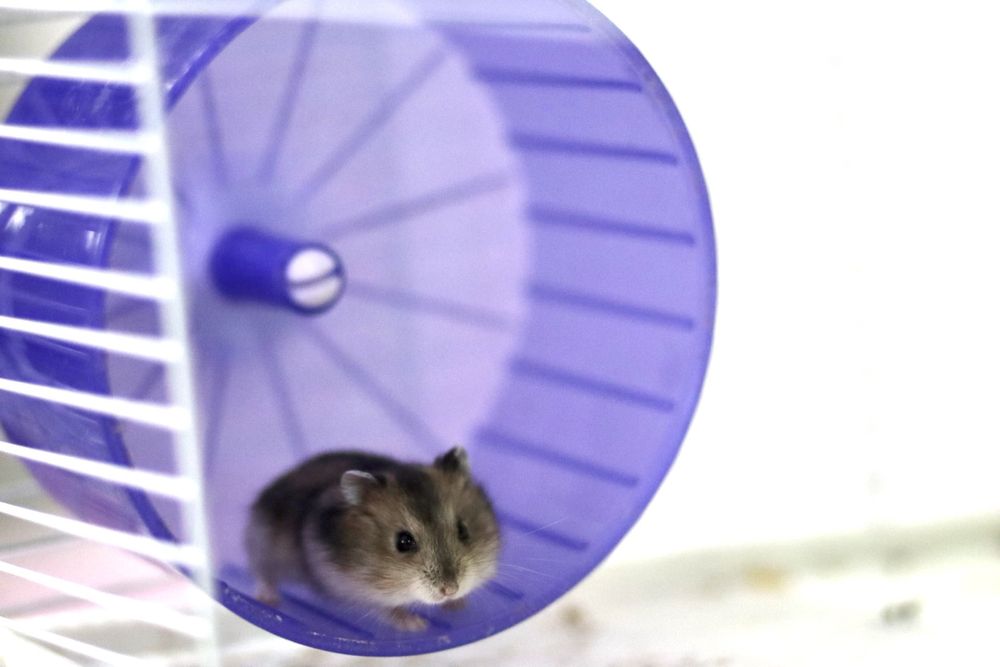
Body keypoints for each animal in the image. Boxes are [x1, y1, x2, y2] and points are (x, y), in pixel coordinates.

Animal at [244, 446, 500, 631]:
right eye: (403, 541)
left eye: (463, 530)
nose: (450, 590)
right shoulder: (355, 591)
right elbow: (387, 609)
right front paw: (418, 625)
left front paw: (457, 606)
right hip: (263, 546)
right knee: (261, 572)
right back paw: (268, 599)